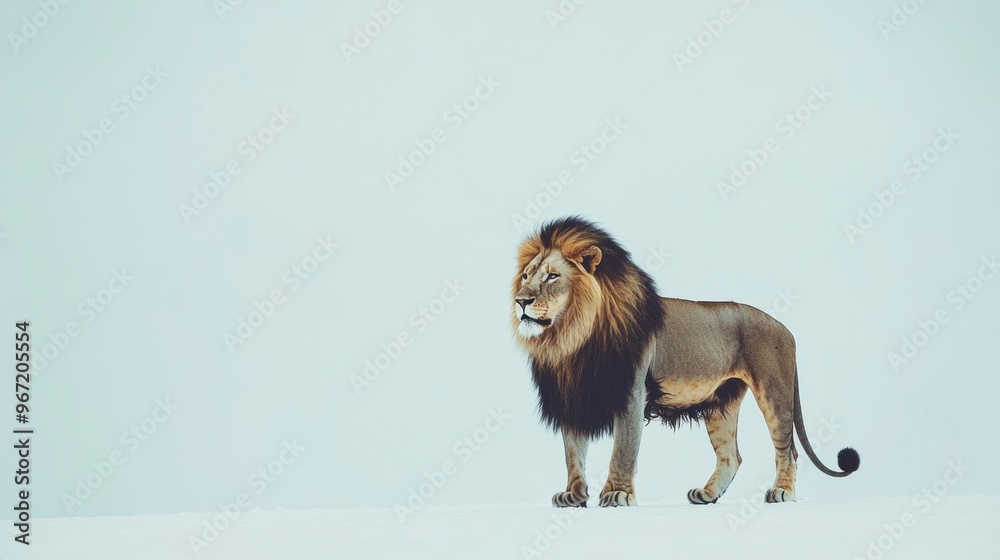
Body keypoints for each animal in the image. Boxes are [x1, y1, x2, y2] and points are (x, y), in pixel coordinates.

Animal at [511, 216, 859, 507]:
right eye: (525, 276)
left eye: (552, 276)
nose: (520, 301)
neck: (570, 338)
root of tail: (786, 328)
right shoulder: (571, 395)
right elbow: (573, 452)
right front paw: (573, 495)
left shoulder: (632, 392)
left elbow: (623, 449)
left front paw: (617, 494)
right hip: (722, 403)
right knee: (731, 456)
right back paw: (707, 494)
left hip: (774, 394)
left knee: (788, 450)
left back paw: (782, 492)